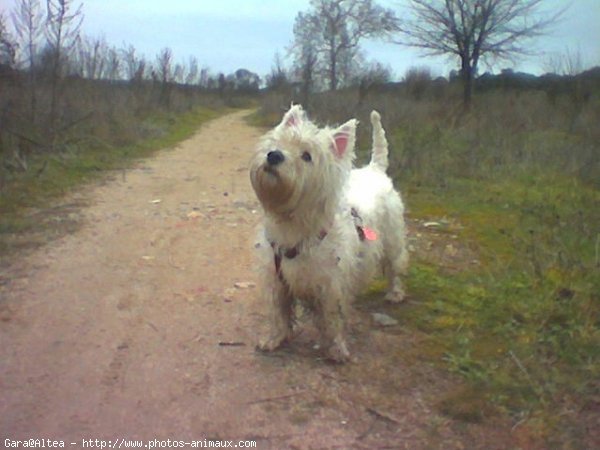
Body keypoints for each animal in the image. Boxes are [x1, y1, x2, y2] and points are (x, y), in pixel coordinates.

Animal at [248, 105, 408, 362]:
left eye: (307, 156)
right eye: (278, 143)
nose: (274, 156)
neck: (293, 224)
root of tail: (375, 169)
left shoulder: (331, 285)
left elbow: (333, 319)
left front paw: (336, 350)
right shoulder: (276, 280)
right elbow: (278, 313)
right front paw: (274, 339)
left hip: (392, 238)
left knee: (394, 267)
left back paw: (395, 293)